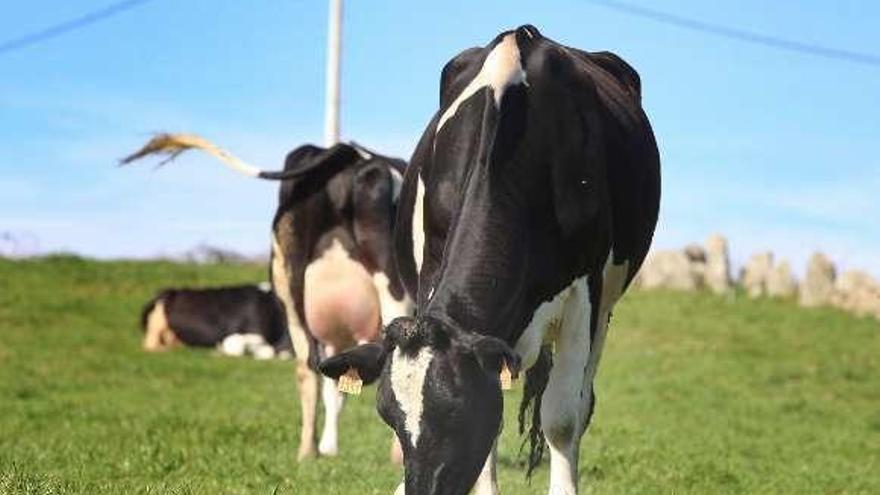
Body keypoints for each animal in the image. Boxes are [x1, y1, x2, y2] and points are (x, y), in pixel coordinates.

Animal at [322, 25, 660, 494]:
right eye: (389, 418)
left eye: (456, 412)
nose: (420, 488)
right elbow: (494, 433)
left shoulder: (585, 293)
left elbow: (562, 417)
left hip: (606, 309)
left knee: (580, 400)